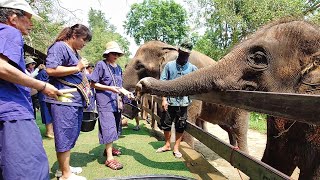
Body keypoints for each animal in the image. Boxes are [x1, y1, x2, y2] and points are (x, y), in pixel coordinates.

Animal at [122, 40, 250, 153]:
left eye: (140, 66)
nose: (126, 115)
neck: (167, 46)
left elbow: (187, 122)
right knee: (229, 129)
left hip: (242, 107)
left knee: (239, 131)